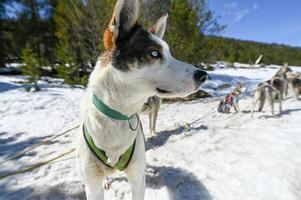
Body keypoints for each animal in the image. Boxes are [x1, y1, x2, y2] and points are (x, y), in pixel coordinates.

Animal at [76, 0, 206, 200]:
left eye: (169, 53)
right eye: (154, 53)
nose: (203, 75)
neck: (118, 115)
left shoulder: (137, 178)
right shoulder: (92, 184)